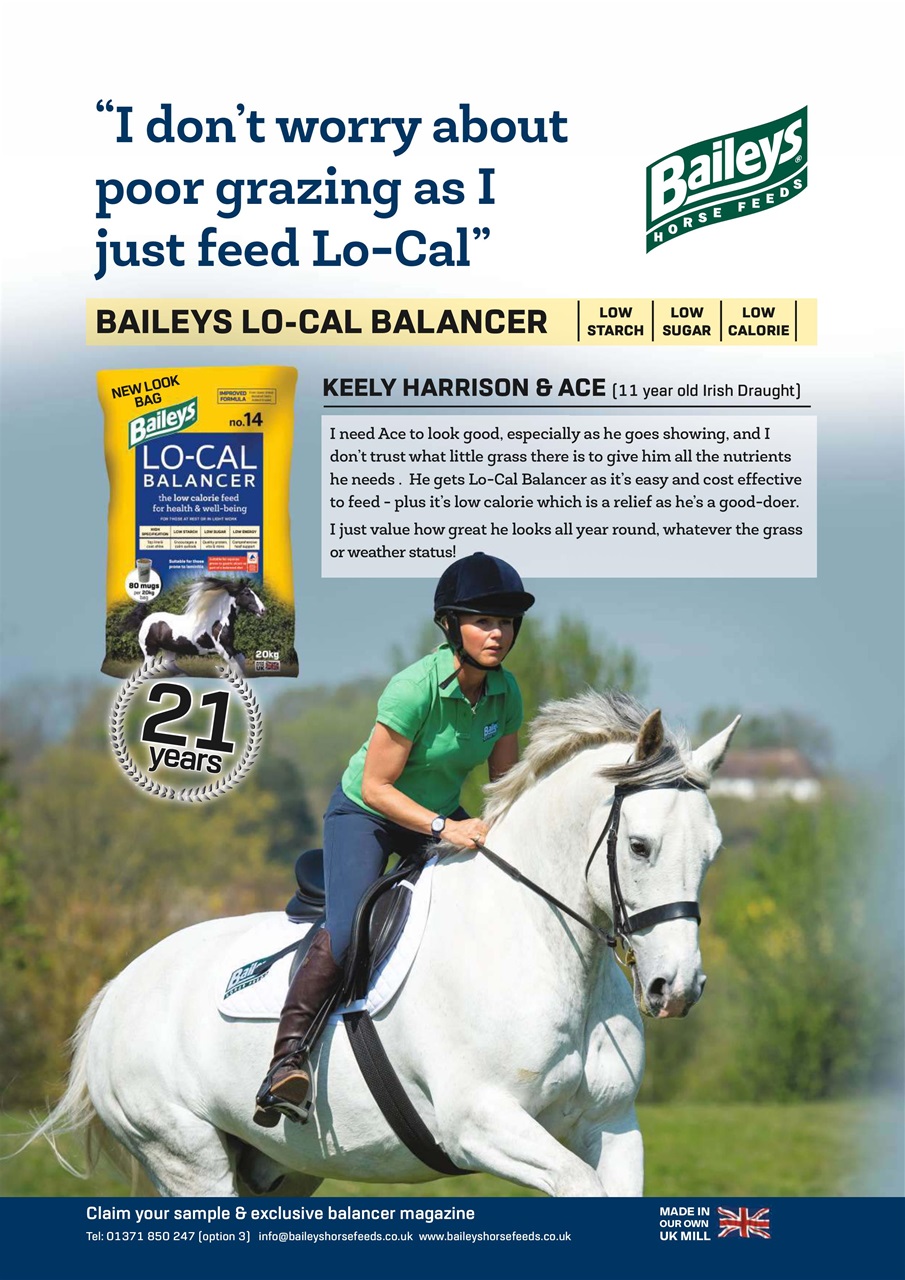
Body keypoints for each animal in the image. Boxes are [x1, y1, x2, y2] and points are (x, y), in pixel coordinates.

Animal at [27, 692, 739, 1198]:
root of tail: (118, 991)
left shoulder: (612, 1126)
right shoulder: (481, 1123)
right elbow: (575, 1183)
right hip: (187, 1156)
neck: (544, 949)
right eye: (640, 846)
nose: (677, 988)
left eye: (713, 852)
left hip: (278, 1168)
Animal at [129, 577, 265, 674]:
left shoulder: (230, 646)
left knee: (168, 665)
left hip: (169, 650)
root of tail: (143, 621)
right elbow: (238, 669)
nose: (263, 610)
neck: (217, 622)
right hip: (150, 650)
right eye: (247, 593)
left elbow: (241, 659)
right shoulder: (223, 649)